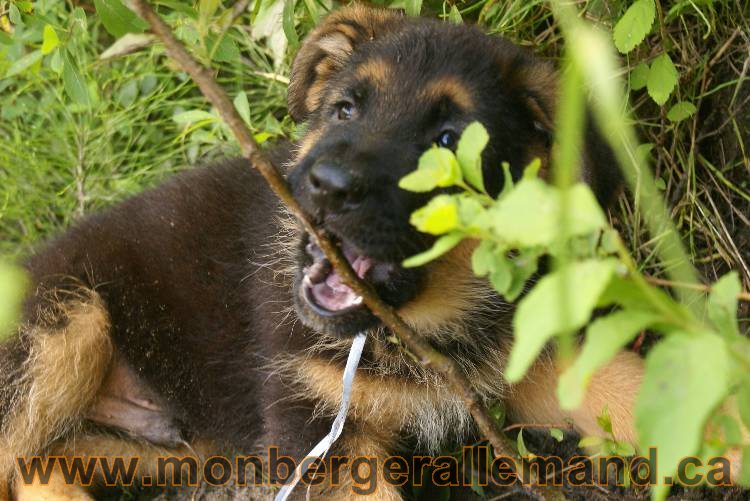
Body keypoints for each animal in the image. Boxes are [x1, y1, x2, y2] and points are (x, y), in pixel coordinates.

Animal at [1, 4, 648, 500]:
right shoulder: (317, 424)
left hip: (161, 447)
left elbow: (634, 383)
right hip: (65, 319)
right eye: (346, 109)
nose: (328, 185)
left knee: (39, 463)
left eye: (447, 142)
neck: (415, 330)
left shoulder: (531, 352)